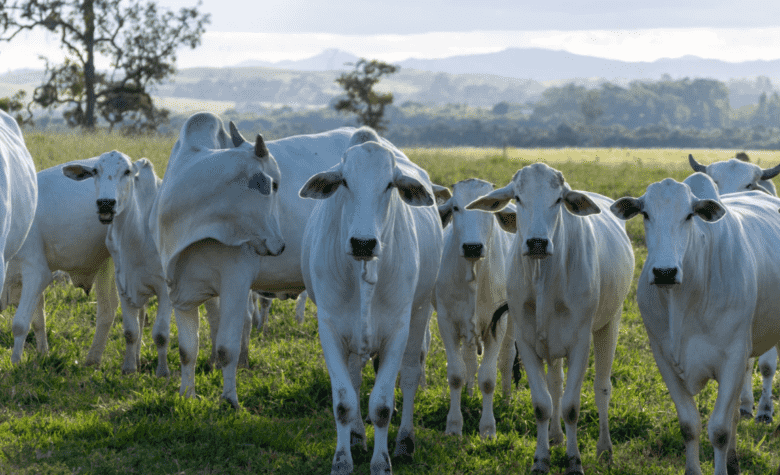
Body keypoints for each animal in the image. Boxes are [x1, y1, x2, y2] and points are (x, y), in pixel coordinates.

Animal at [2, 158, 117, 366]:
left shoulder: (37, 272)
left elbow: (20, 324)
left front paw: (15, 362)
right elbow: (38, 322)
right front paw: (42, 354)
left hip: (111, 264)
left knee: (108, 311)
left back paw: (93, 360)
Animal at [436, 178, 520, 438]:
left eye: (489, 209)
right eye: (455, 208)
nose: (472, 247)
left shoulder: (497, 324)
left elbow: (488, 378)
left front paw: (488, 428)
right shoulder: (447, 321)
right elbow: (456, 374)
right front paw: (454, 425)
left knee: (507, 359)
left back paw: (506, 400)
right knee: (469, 360)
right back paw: (470, 394)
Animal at [464, 163, 632, 472]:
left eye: (558, 200)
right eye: (518, 198)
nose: (537, 243)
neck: (543, 278)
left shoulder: (580, 344)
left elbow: (571, 407)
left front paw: (574, 461)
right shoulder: (528, 343)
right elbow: (543, 404)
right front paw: (541, 459)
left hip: (610, 323)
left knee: (602, 388)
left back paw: (604, 449)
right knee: (555, 386)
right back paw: (555, 437)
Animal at [612, 177, 780, 475]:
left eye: (689, 215)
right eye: (646, 214)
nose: (664, 272)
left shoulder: (733, 357)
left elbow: (720, 430)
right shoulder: (664, 358)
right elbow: (690, 425)